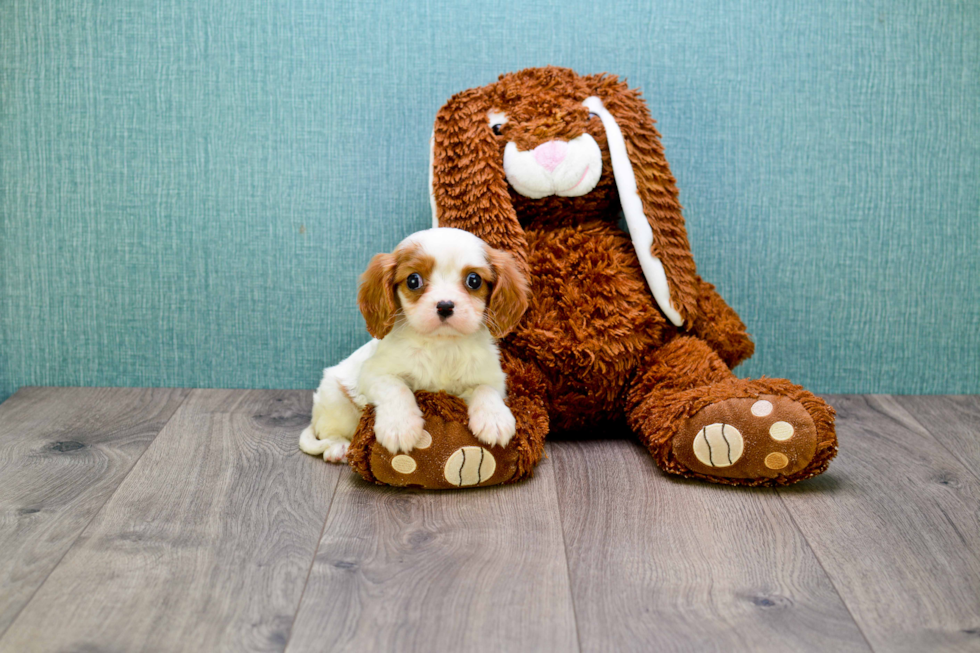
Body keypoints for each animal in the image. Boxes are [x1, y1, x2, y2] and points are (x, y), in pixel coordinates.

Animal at [298, 227, 528, 460]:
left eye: (474, 280)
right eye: (413, 280)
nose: (445, 306)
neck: (442, 345)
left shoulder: (494, 378)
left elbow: (485, 389)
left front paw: (494, 419)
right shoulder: (373, 373)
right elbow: (396, 388)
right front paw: (400, 427)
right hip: (336, 400)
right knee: (330, 431)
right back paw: (339, 448)